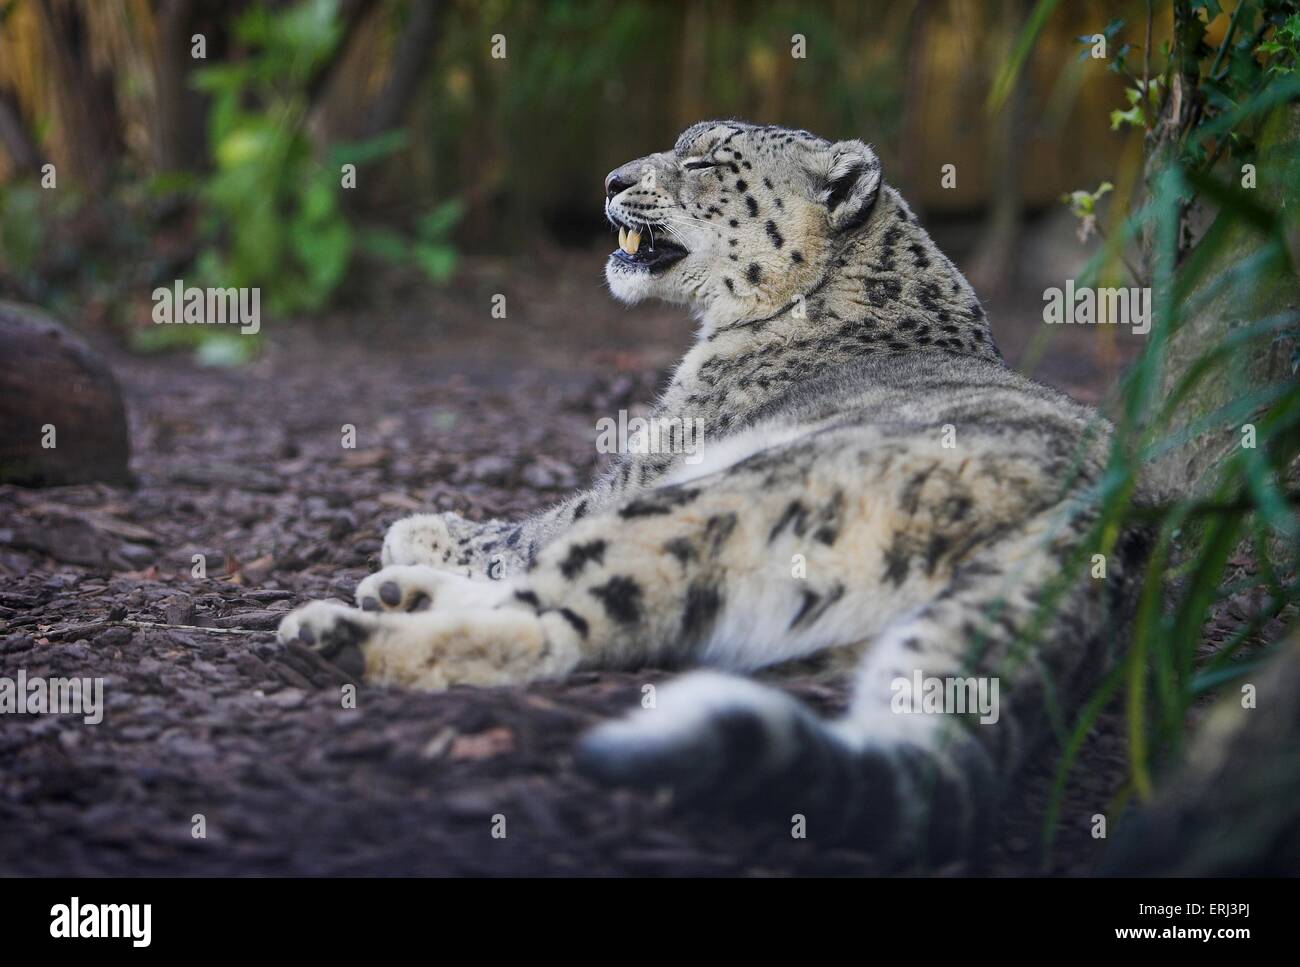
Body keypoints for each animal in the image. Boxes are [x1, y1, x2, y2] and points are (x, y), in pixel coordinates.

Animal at [277, 120, 1149, 865]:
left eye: (704, 160)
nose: (611, 178)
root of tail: (1102, 536)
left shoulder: (648, 466)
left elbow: (539, 523)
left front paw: (420, 528)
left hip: (717, 496)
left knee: (561, 625)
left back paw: (338, 629)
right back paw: (394, 594)